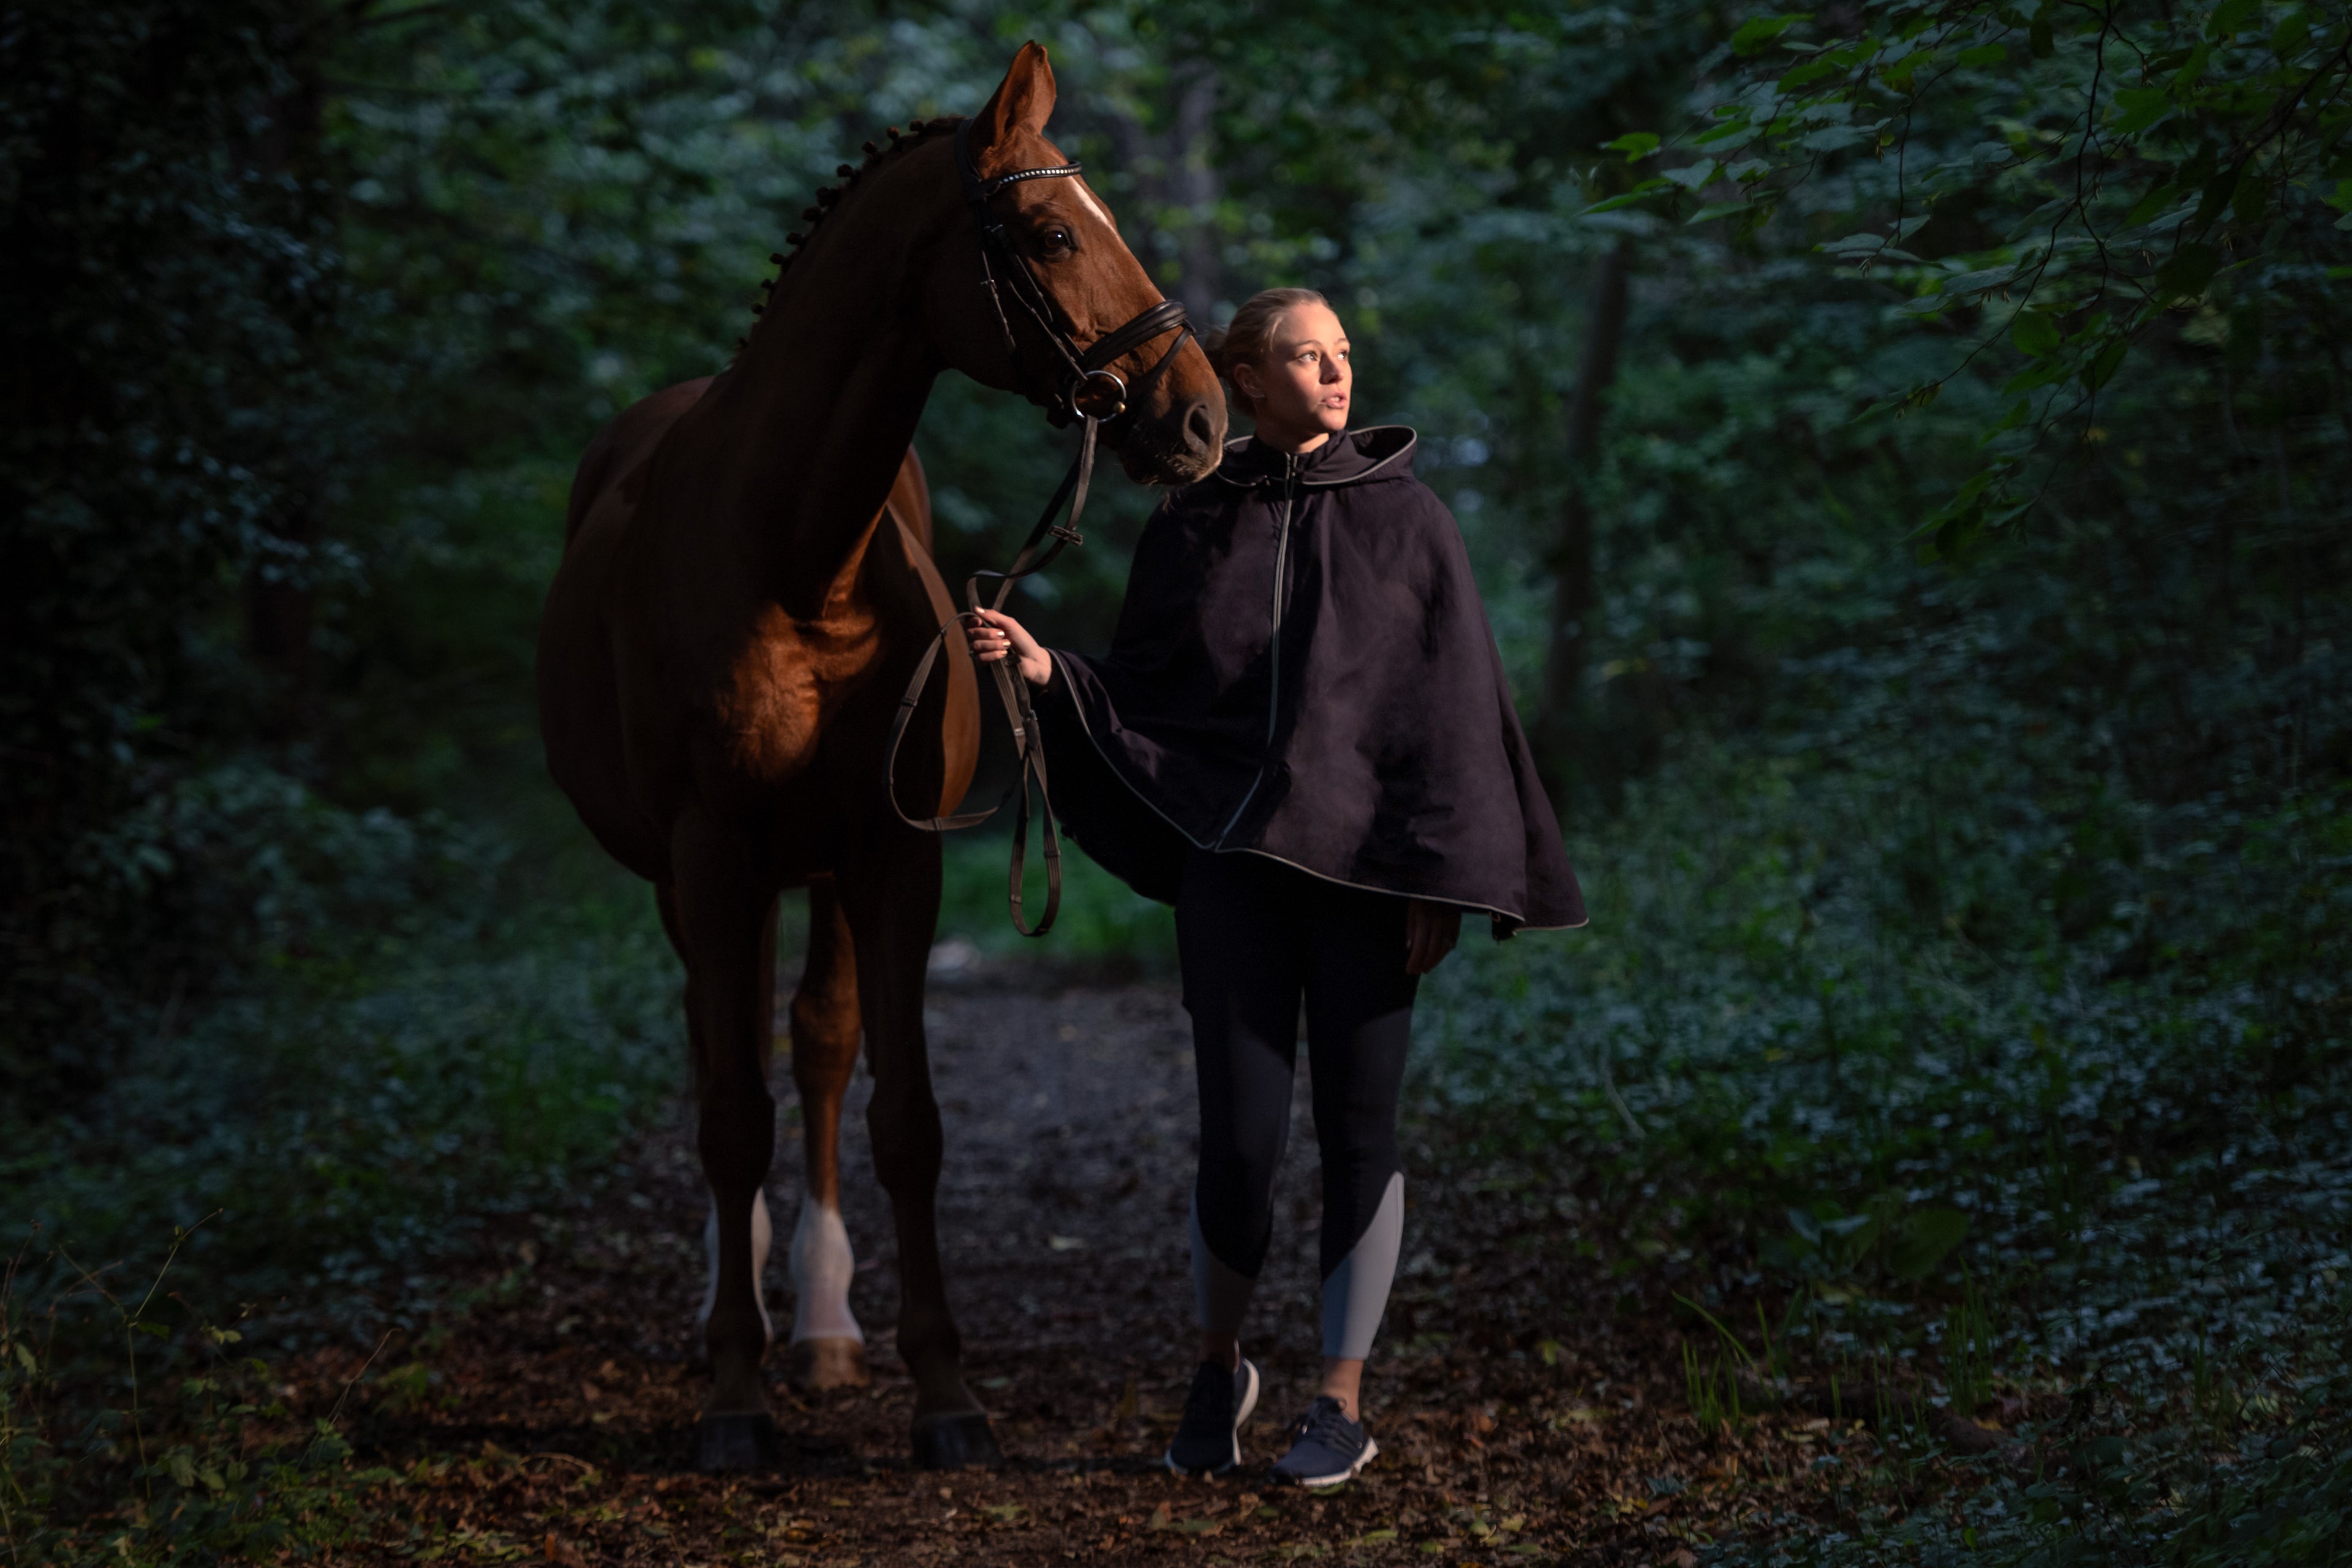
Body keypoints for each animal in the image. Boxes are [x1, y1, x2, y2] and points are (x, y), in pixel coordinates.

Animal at [538, 49, 1223, 1476]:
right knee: (724, 1045)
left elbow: (905, 1118)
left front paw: (943, 1390)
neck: (800, 562)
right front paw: (733, 1392)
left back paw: (821, 1322)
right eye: (1050, 233)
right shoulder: (712, 858)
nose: (1200, 416)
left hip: (821, 874)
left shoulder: (892, 857)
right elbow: (730, 1116)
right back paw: (738, 1301)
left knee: (812, 1043)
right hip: (700, 881)